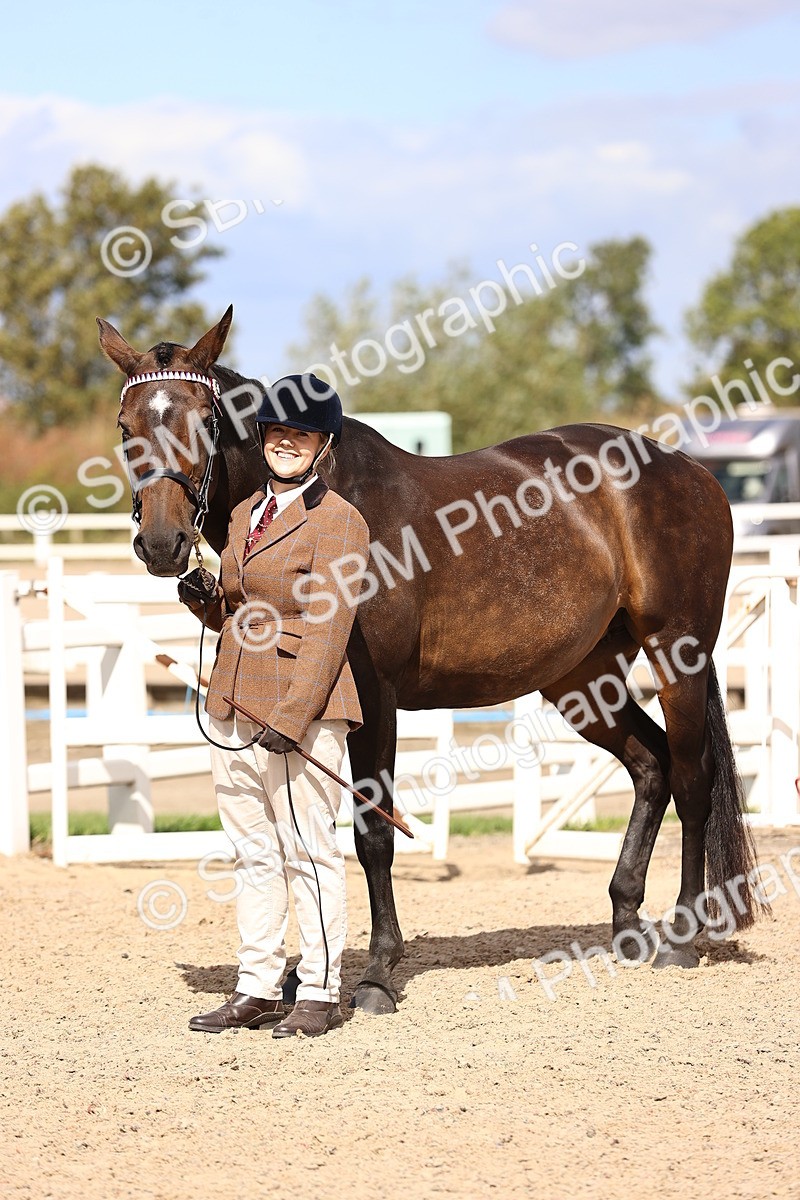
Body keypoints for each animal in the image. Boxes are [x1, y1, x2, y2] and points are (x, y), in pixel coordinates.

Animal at [97, 305, 764, 1014]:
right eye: (125, 426)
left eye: (205, 419)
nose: (162, 544)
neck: (324, 493)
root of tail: (693, 472)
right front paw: (297, 980)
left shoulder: (372, 694)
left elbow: (371, 833)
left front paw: (376, 975)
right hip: (583, 679)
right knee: (651, 765)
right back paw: (627, 922)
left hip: (677, 654)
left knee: (691, 778)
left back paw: (685, 935)